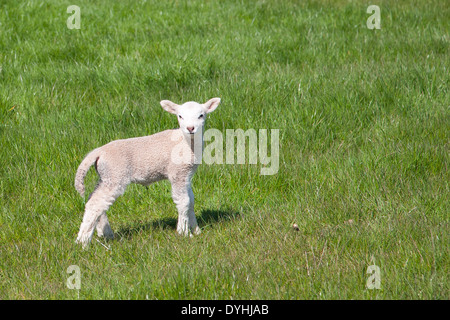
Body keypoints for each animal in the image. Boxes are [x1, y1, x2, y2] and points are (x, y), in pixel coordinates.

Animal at [74, 97, 221, 248]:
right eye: (180, 116)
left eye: (201, 115)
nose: (190, 128)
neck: (185, 142)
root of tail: (98, 152)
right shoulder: (177, 173)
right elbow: (183, 201)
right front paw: (184, 232)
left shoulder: (187, 174)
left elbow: (191, 201)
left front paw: (196, 230)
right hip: (115, 175)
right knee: (95, 204)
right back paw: (83, 242)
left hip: (105, 176)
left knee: (95, 200)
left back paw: (105, 233)